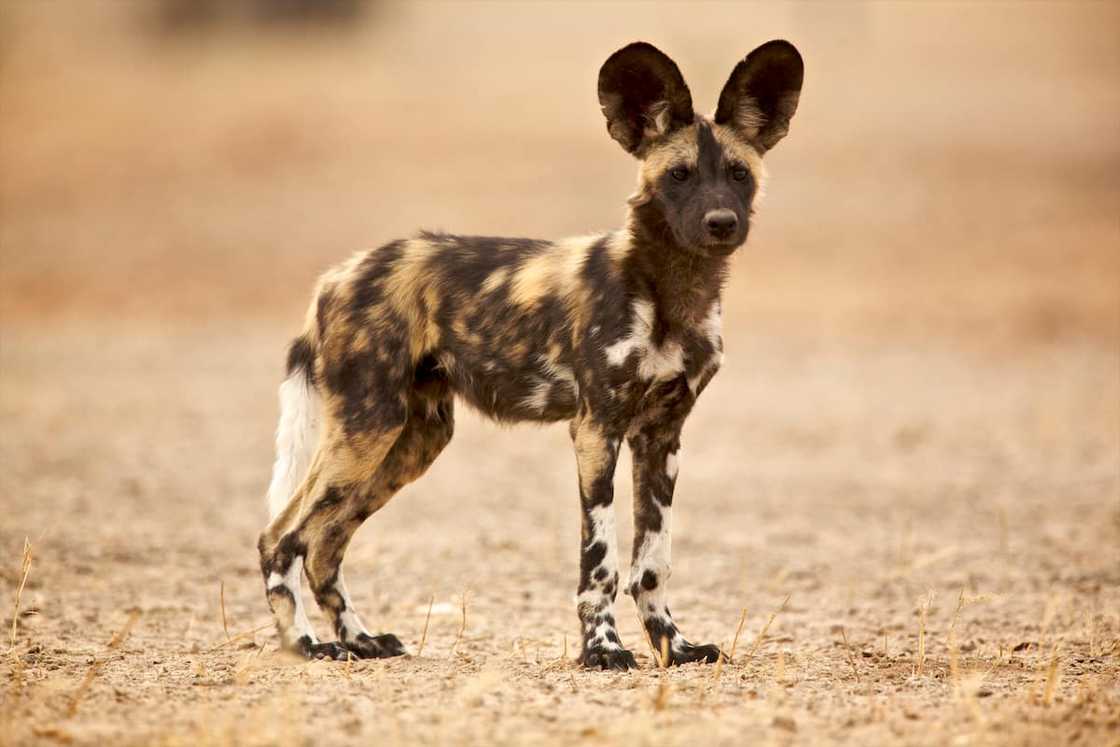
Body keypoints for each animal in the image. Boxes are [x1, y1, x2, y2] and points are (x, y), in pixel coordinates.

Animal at [259, 42, 806, 671]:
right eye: (680, 175)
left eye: (739, 174)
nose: (721, 223)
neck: (673, 292)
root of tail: (338, 274)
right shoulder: (596, 429)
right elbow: (601, 563)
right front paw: (603, 650)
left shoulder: (662, 436)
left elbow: (652, 563)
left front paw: (675, 646)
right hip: (366, 431)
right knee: (281, 538)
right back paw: (306, 644)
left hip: (410, 442)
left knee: (325, 544)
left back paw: (360, 640)